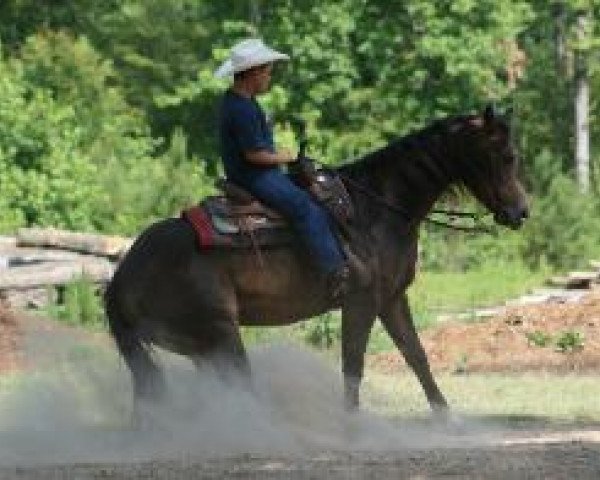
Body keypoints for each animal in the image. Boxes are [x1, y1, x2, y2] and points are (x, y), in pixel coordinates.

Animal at [105, 107, 528, 422]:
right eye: (506, 156)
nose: (521, 212)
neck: (375, 210)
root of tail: (122, 277)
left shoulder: (392, 299)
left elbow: (417, 356)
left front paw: (447, 419)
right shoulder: (361, 301)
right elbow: (353, 363)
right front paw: (352, 425)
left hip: (200, 346)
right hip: (220, 333)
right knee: (238, 383)